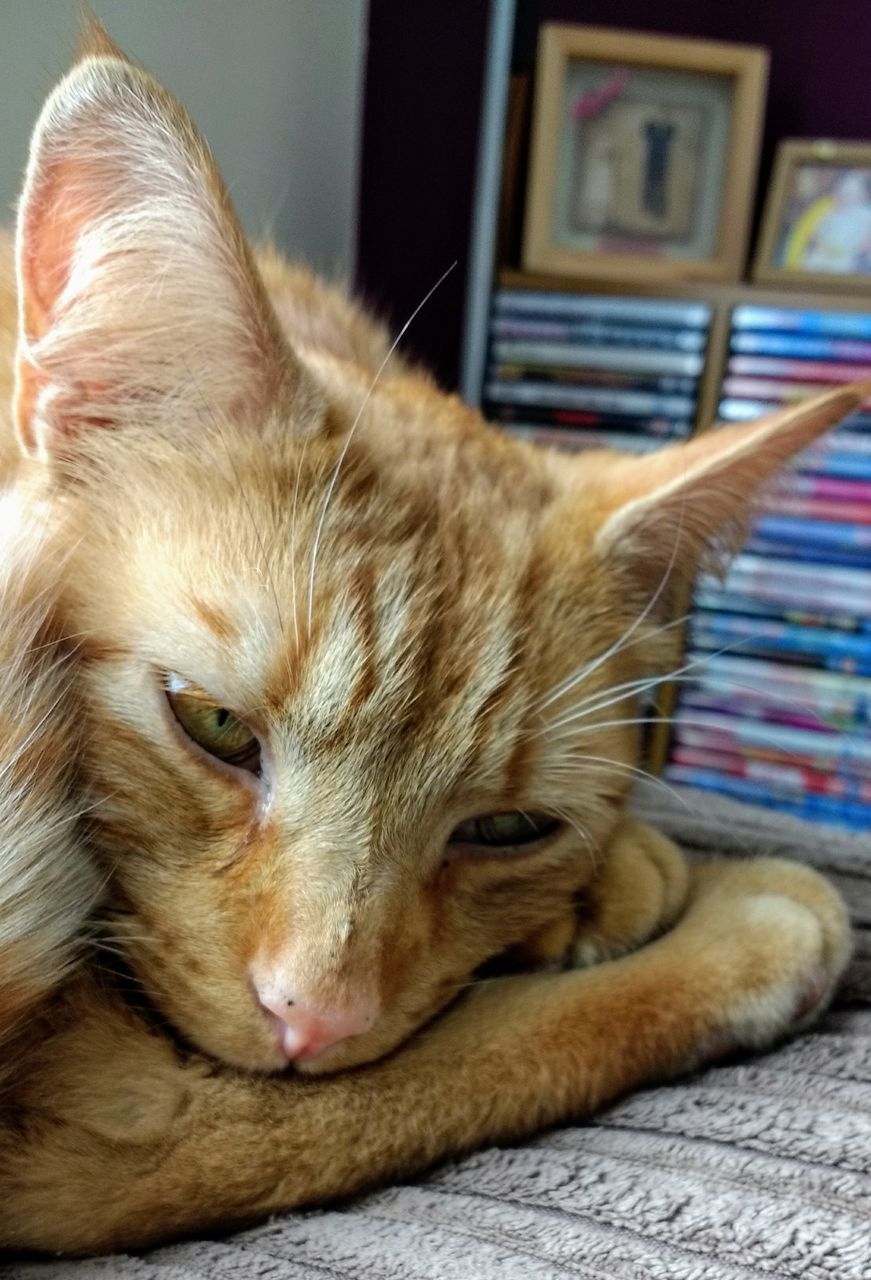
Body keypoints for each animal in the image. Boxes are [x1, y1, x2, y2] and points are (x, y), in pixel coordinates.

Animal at [0, 24, 855, 1254]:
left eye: (507, 826)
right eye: (212, 725)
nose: (314, 1016)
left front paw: (605, 884)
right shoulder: (100, 1123)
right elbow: (439, 1076)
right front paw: (735, 923)